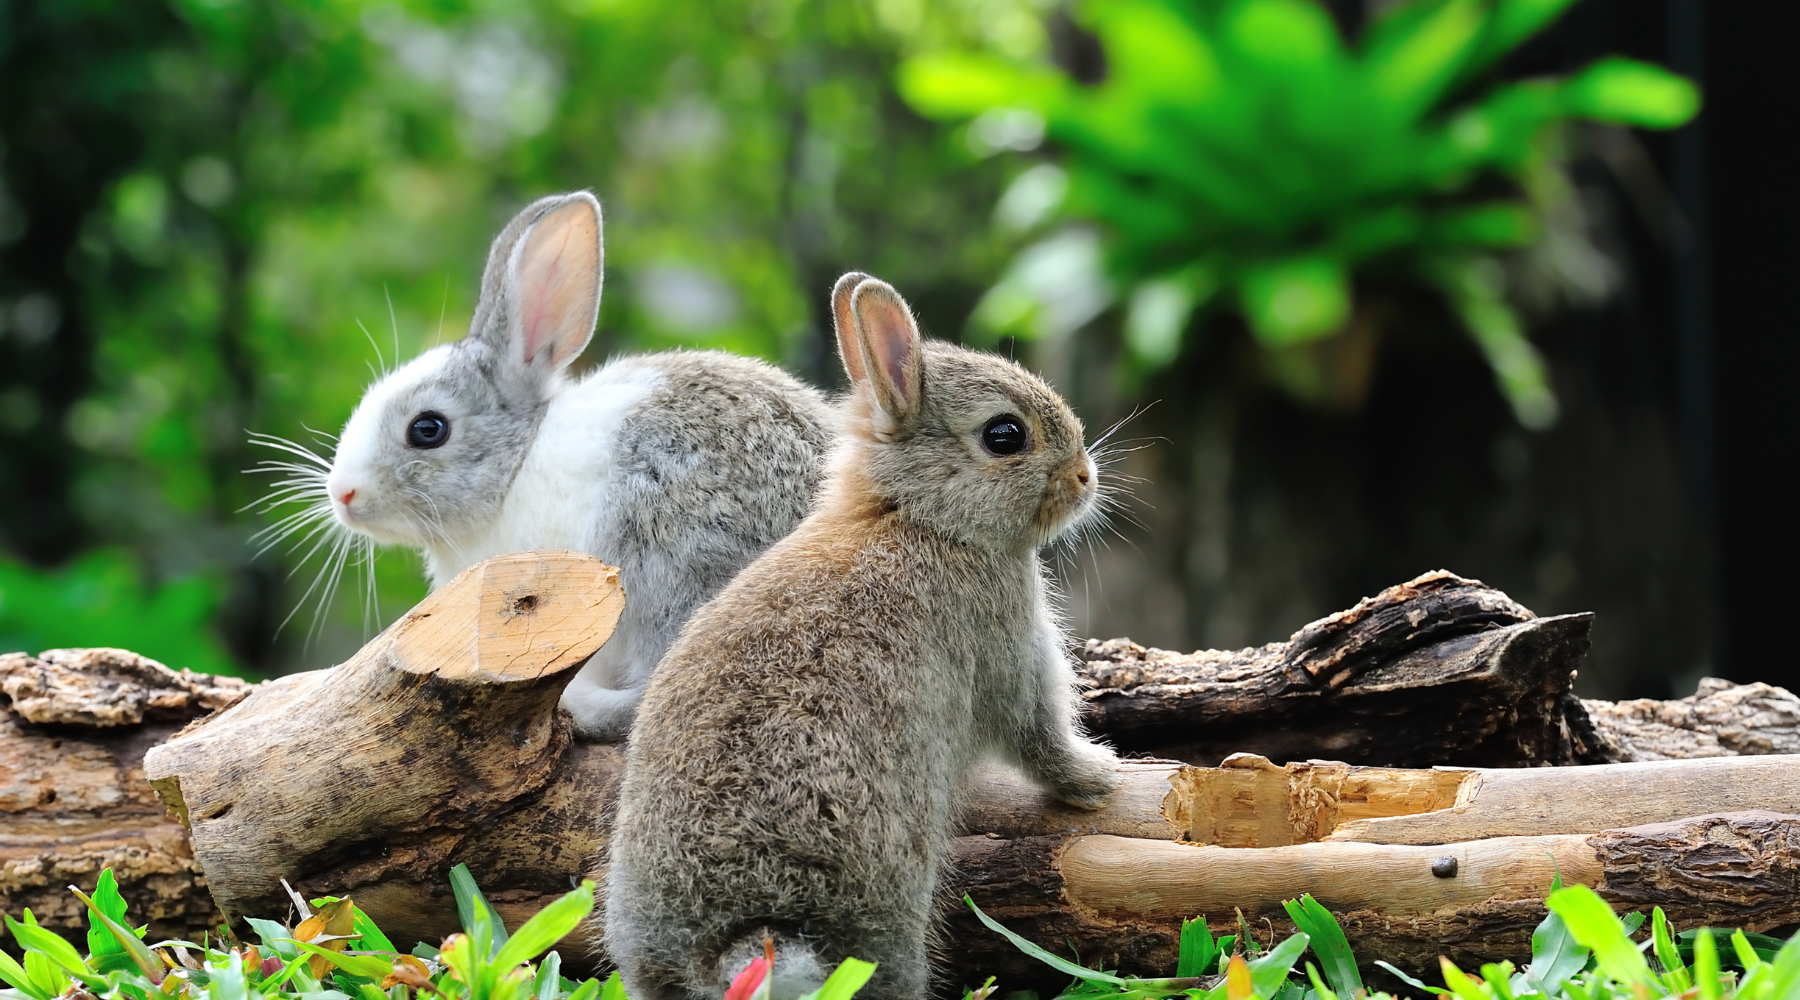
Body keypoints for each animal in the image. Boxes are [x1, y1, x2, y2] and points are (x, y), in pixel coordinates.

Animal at [603, 272, 1121, 1000]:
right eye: (1005, 435)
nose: (1083, 477)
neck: (916, 516)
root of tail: (731, 943)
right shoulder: (1008, 649)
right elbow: (1038, 735)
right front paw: (1099, 778)